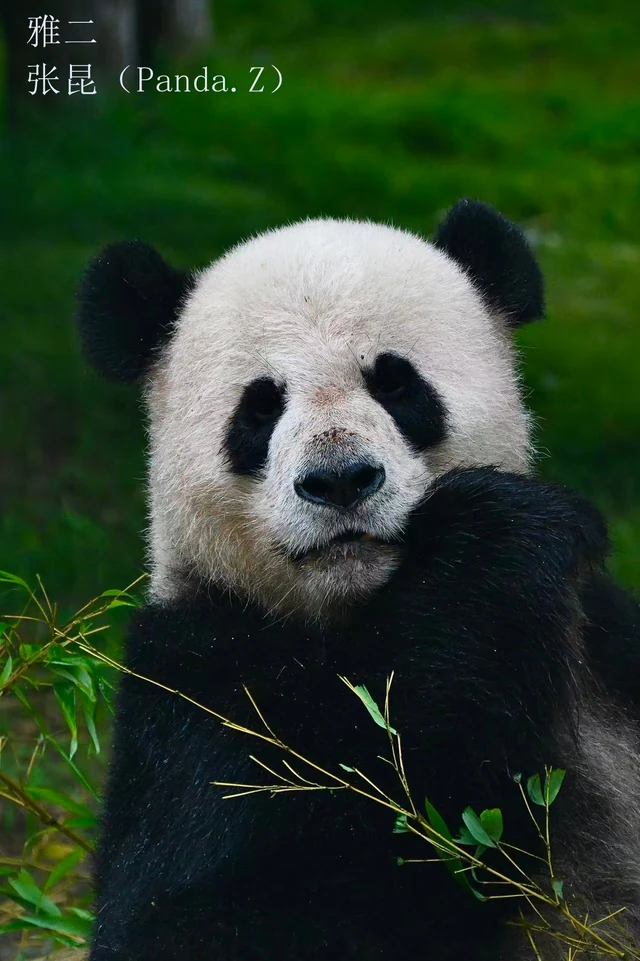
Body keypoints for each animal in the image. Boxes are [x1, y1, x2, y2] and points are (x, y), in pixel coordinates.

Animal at [77, 200, 640, 960]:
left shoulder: (607, 641)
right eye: (260, 406)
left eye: (395, 383)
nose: (339, 480)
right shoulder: (195, 683)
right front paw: (494, 535)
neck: (363, 613)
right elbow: (193, 920)